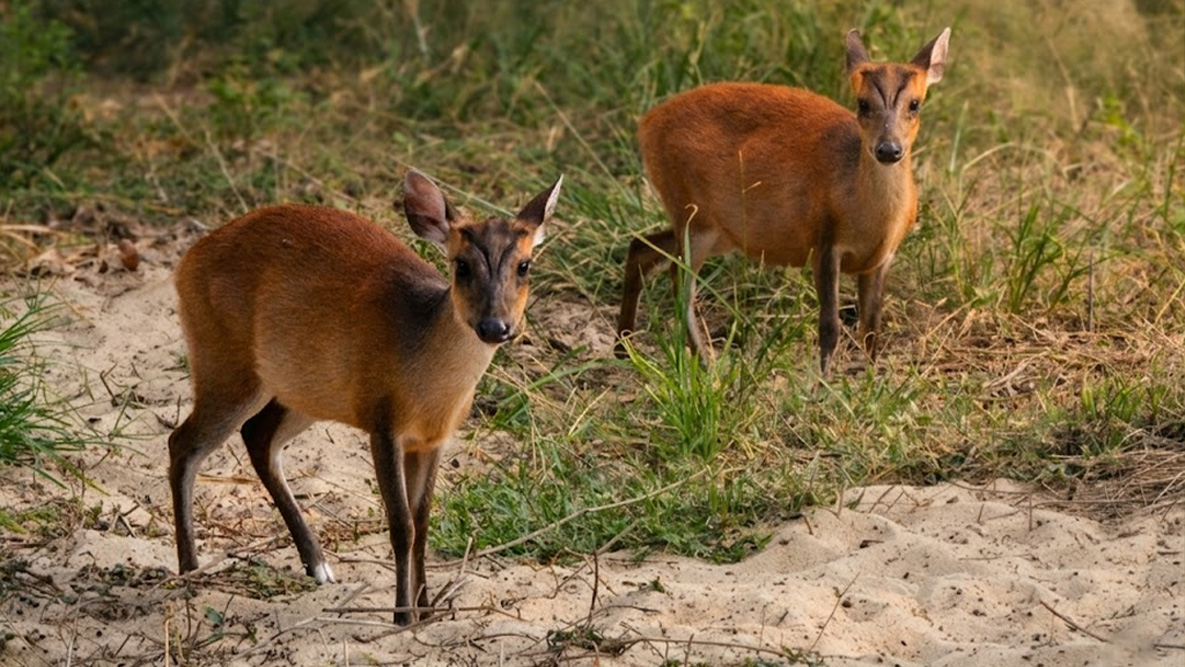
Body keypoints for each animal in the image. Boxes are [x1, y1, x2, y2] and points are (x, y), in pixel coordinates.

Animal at [167, 169, 562, 626]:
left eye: (524, 265)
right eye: (461, 265)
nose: (495, 326)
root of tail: (187, 261)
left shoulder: (431, 440)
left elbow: (423, 521)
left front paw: (427, 609)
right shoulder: (383, 422)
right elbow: (402, 524)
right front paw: (403, 616)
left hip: (305, 388)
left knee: (258, 437)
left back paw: (318, 565)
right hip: (226, 365)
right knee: (183, 443)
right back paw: (190, 570)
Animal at [616, 27, 950, 374]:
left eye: (915, 104)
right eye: (863, 103)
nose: (888, 149)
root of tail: (646, 124)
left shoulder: (882, 258)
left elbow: (871, 327)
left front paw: (872, 377)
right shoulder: (824, 241)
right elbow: (829, 326)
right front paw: (823, 381)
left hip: (715, 228)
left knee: (641, 246)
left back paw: (624, 349)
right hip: (691, 209)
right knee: (680, 281)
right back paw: (705, 365)